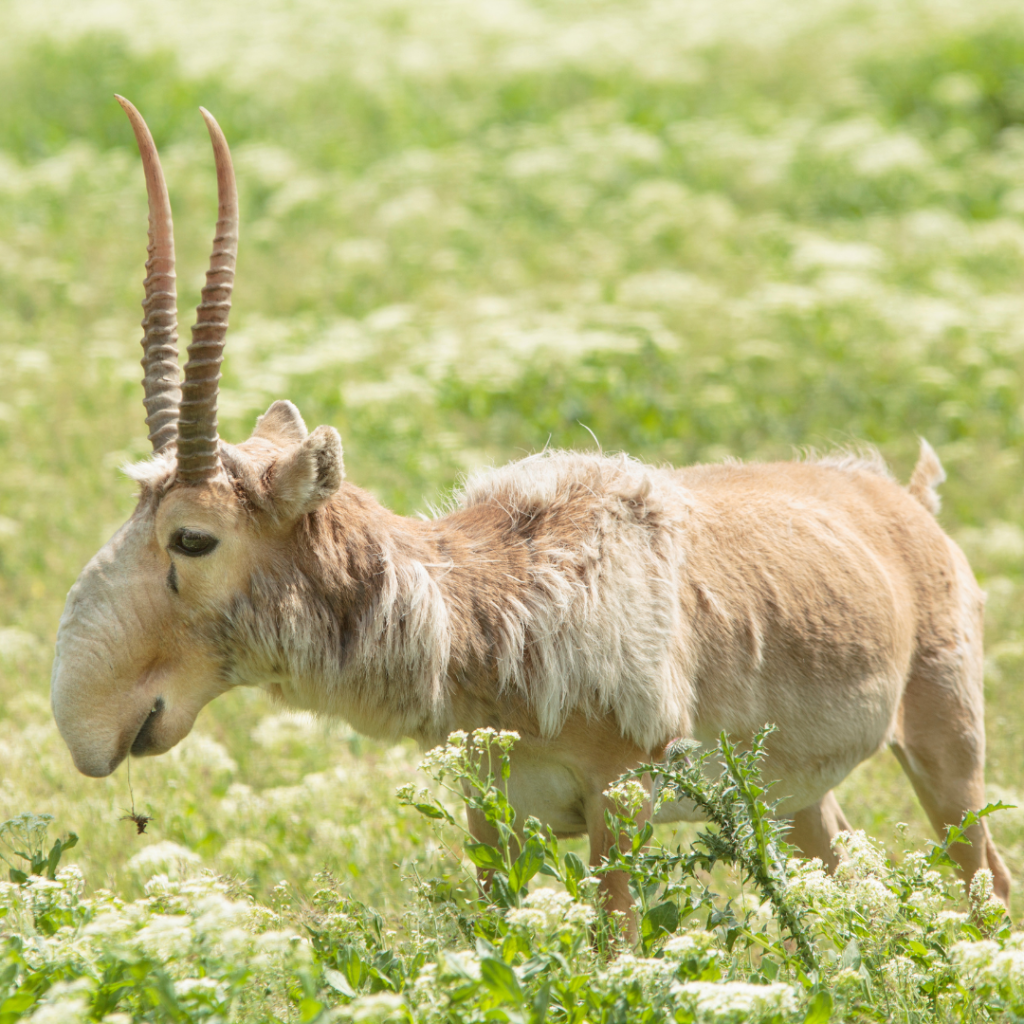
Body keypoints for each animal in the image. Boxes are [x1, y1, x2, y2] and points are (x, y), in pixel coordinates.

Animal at [49, 101, 1007, 921]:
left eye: (191, 537)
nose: (87, 727)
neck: (495, 594)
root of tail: (900, 499)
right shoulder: (493, 814)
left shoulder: (619, 805)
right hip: (801, 797)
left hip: (946, 749)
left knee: (988, 882)